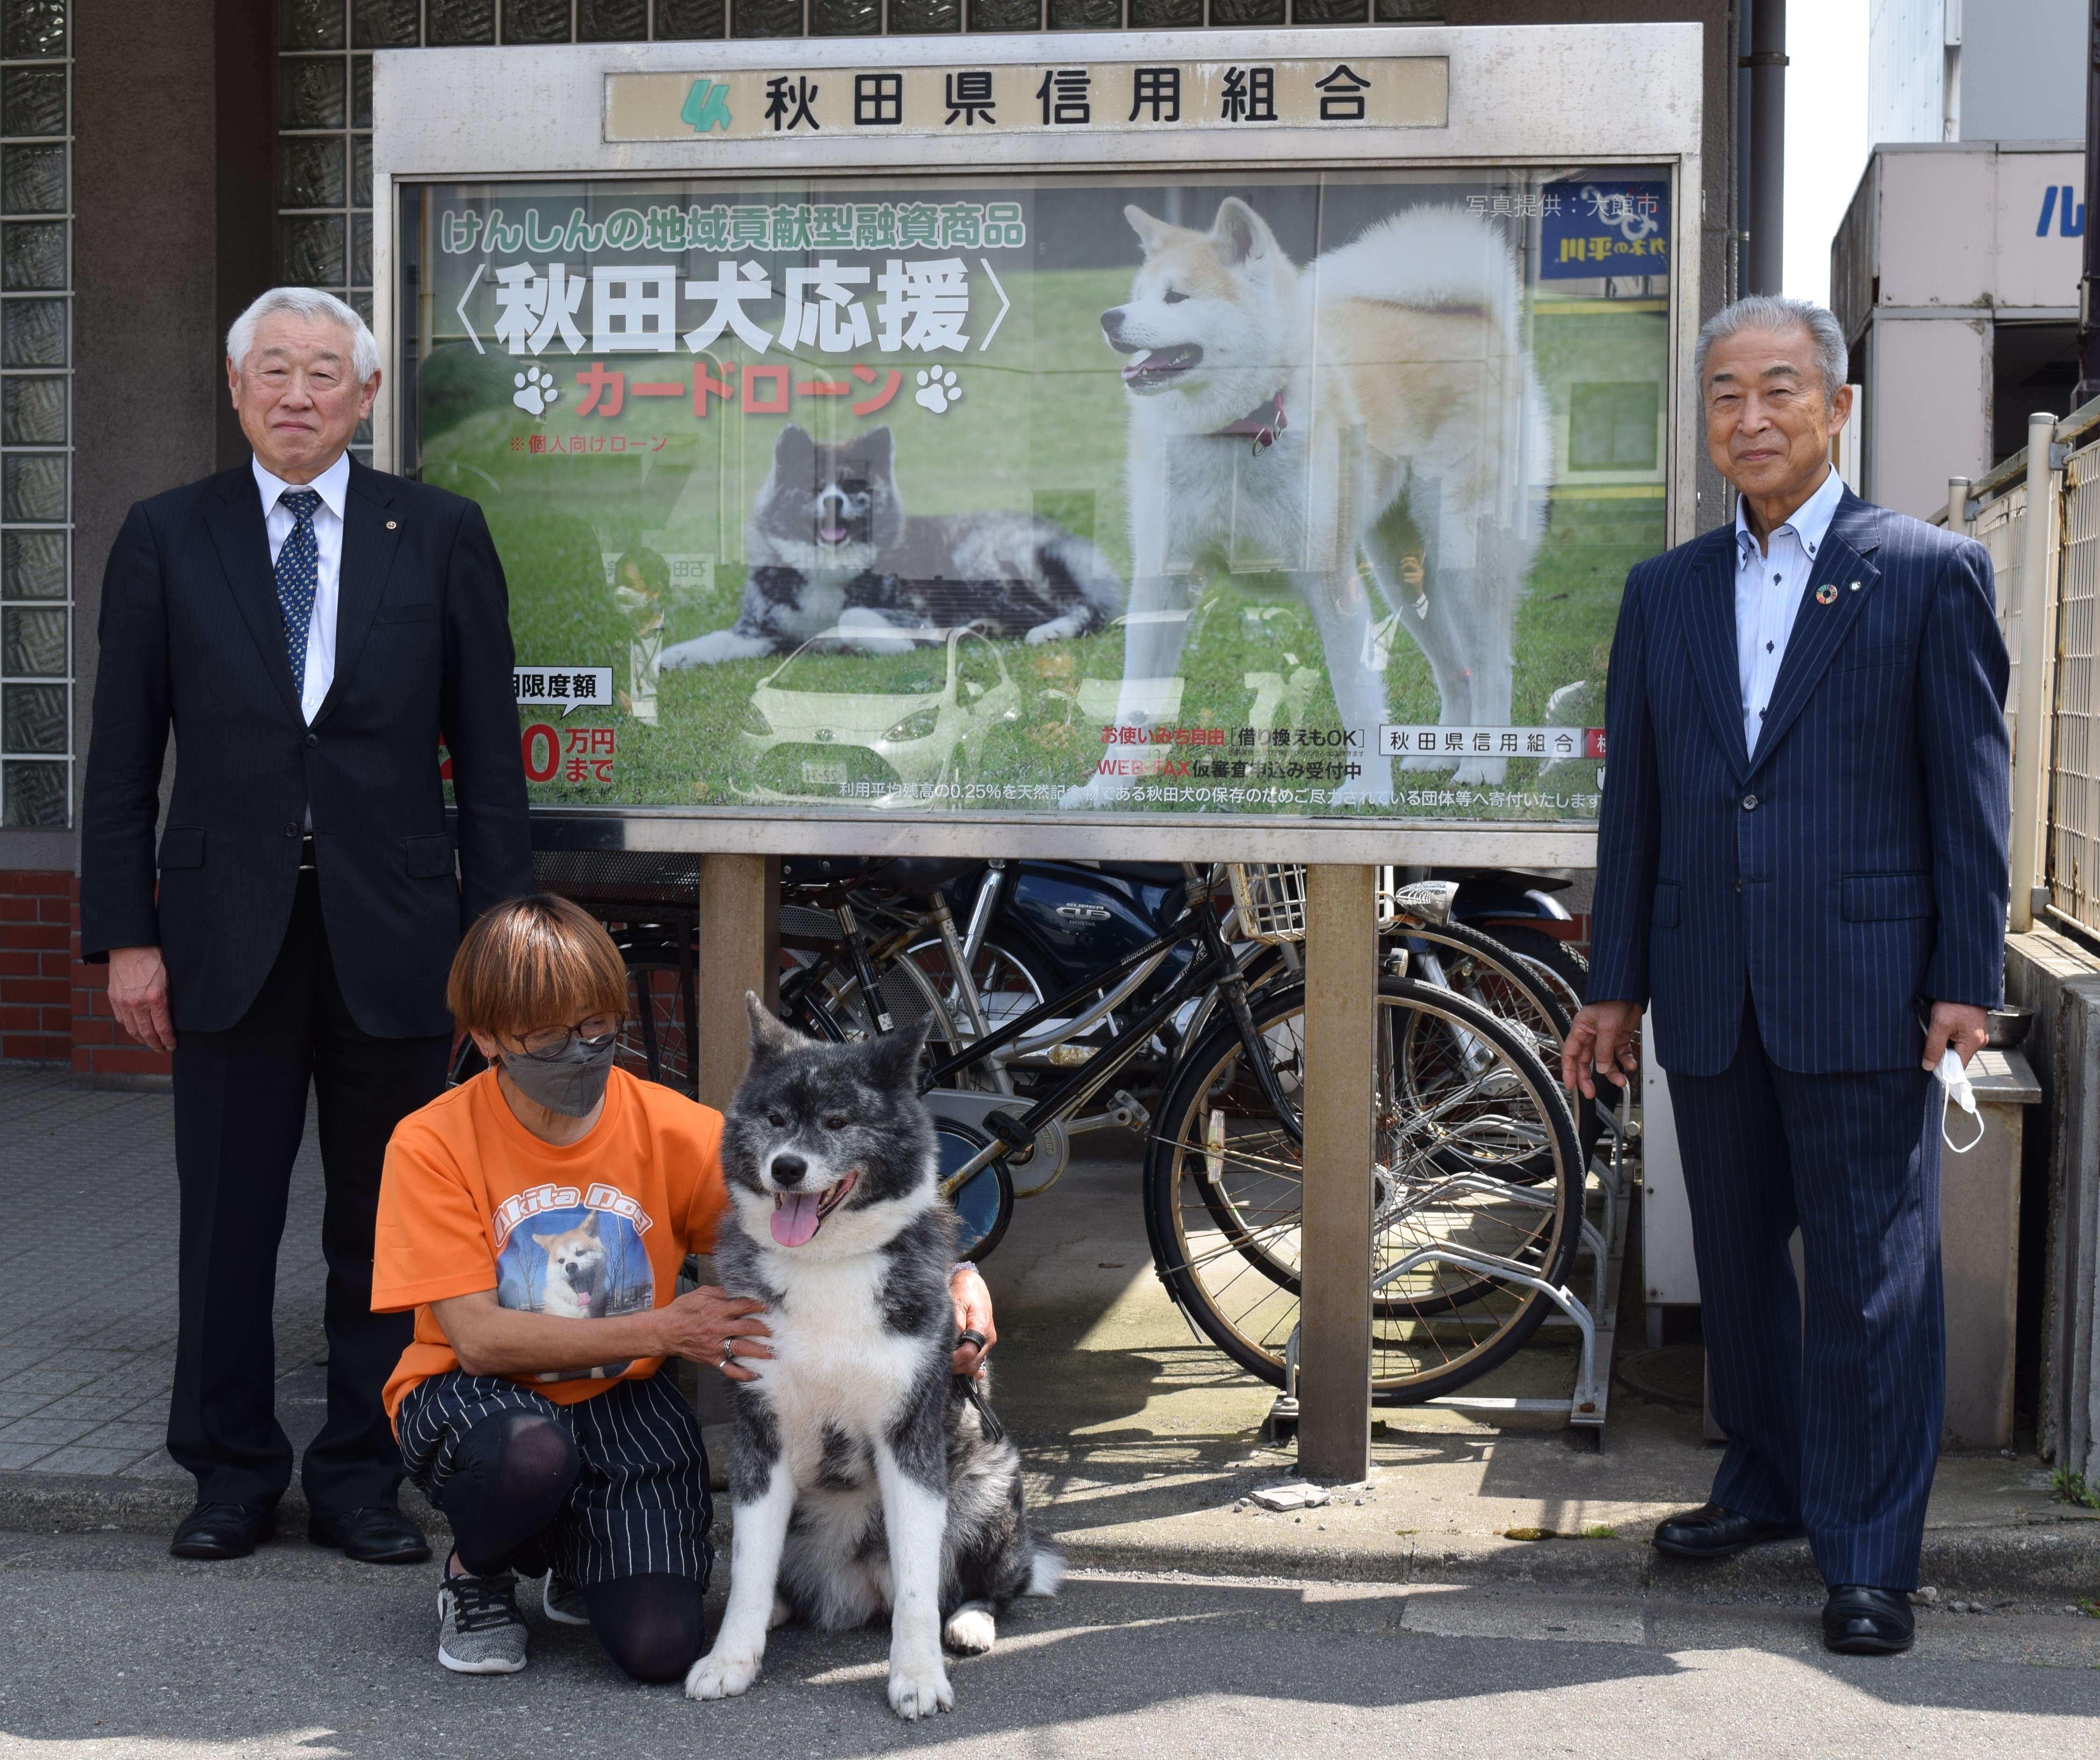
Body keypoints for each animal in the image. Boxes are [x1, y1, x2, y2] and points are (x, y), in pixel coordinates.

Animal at [1075, 198, 1554, 806]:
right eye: (1137, 294)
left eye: (1176, 297)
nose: (1109, 319)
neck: (1233, 434)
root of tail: (1477, 317)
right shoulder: (1164, 579)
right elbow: (1133, 700)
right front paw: (1104, 788)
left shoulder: (1331, 582)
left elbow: (1354, 692)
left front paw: (1367, 789)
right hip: (1401, 575)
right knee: (1454, 668)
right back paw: (1442, 751)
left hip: (1464, 551)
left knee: (1491, 664)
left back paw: (1483, 765)